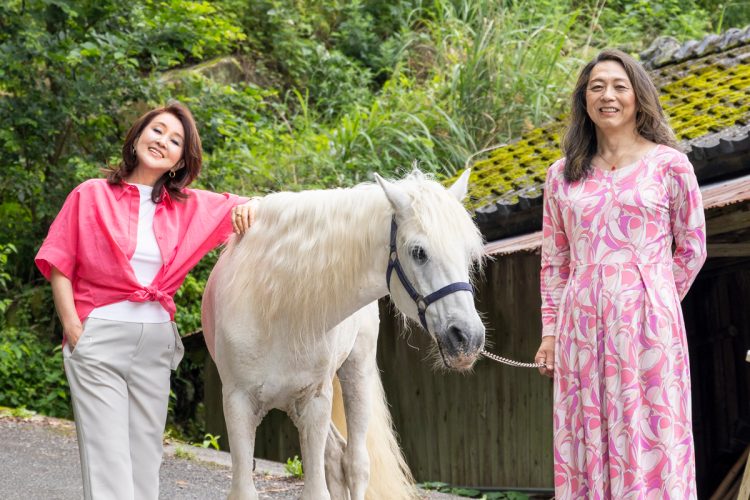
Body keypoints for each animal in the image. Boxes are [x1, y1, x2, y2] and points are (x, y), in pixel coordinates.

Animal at [203, 169, 488, 500]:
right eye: (419, 252)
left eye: (468, 253)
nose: (468, 338)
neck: (274, 305)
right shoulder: (238, 403)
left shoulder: (315, 401)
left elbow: (318, 489)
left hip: (356, 373)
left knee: (354, 462)